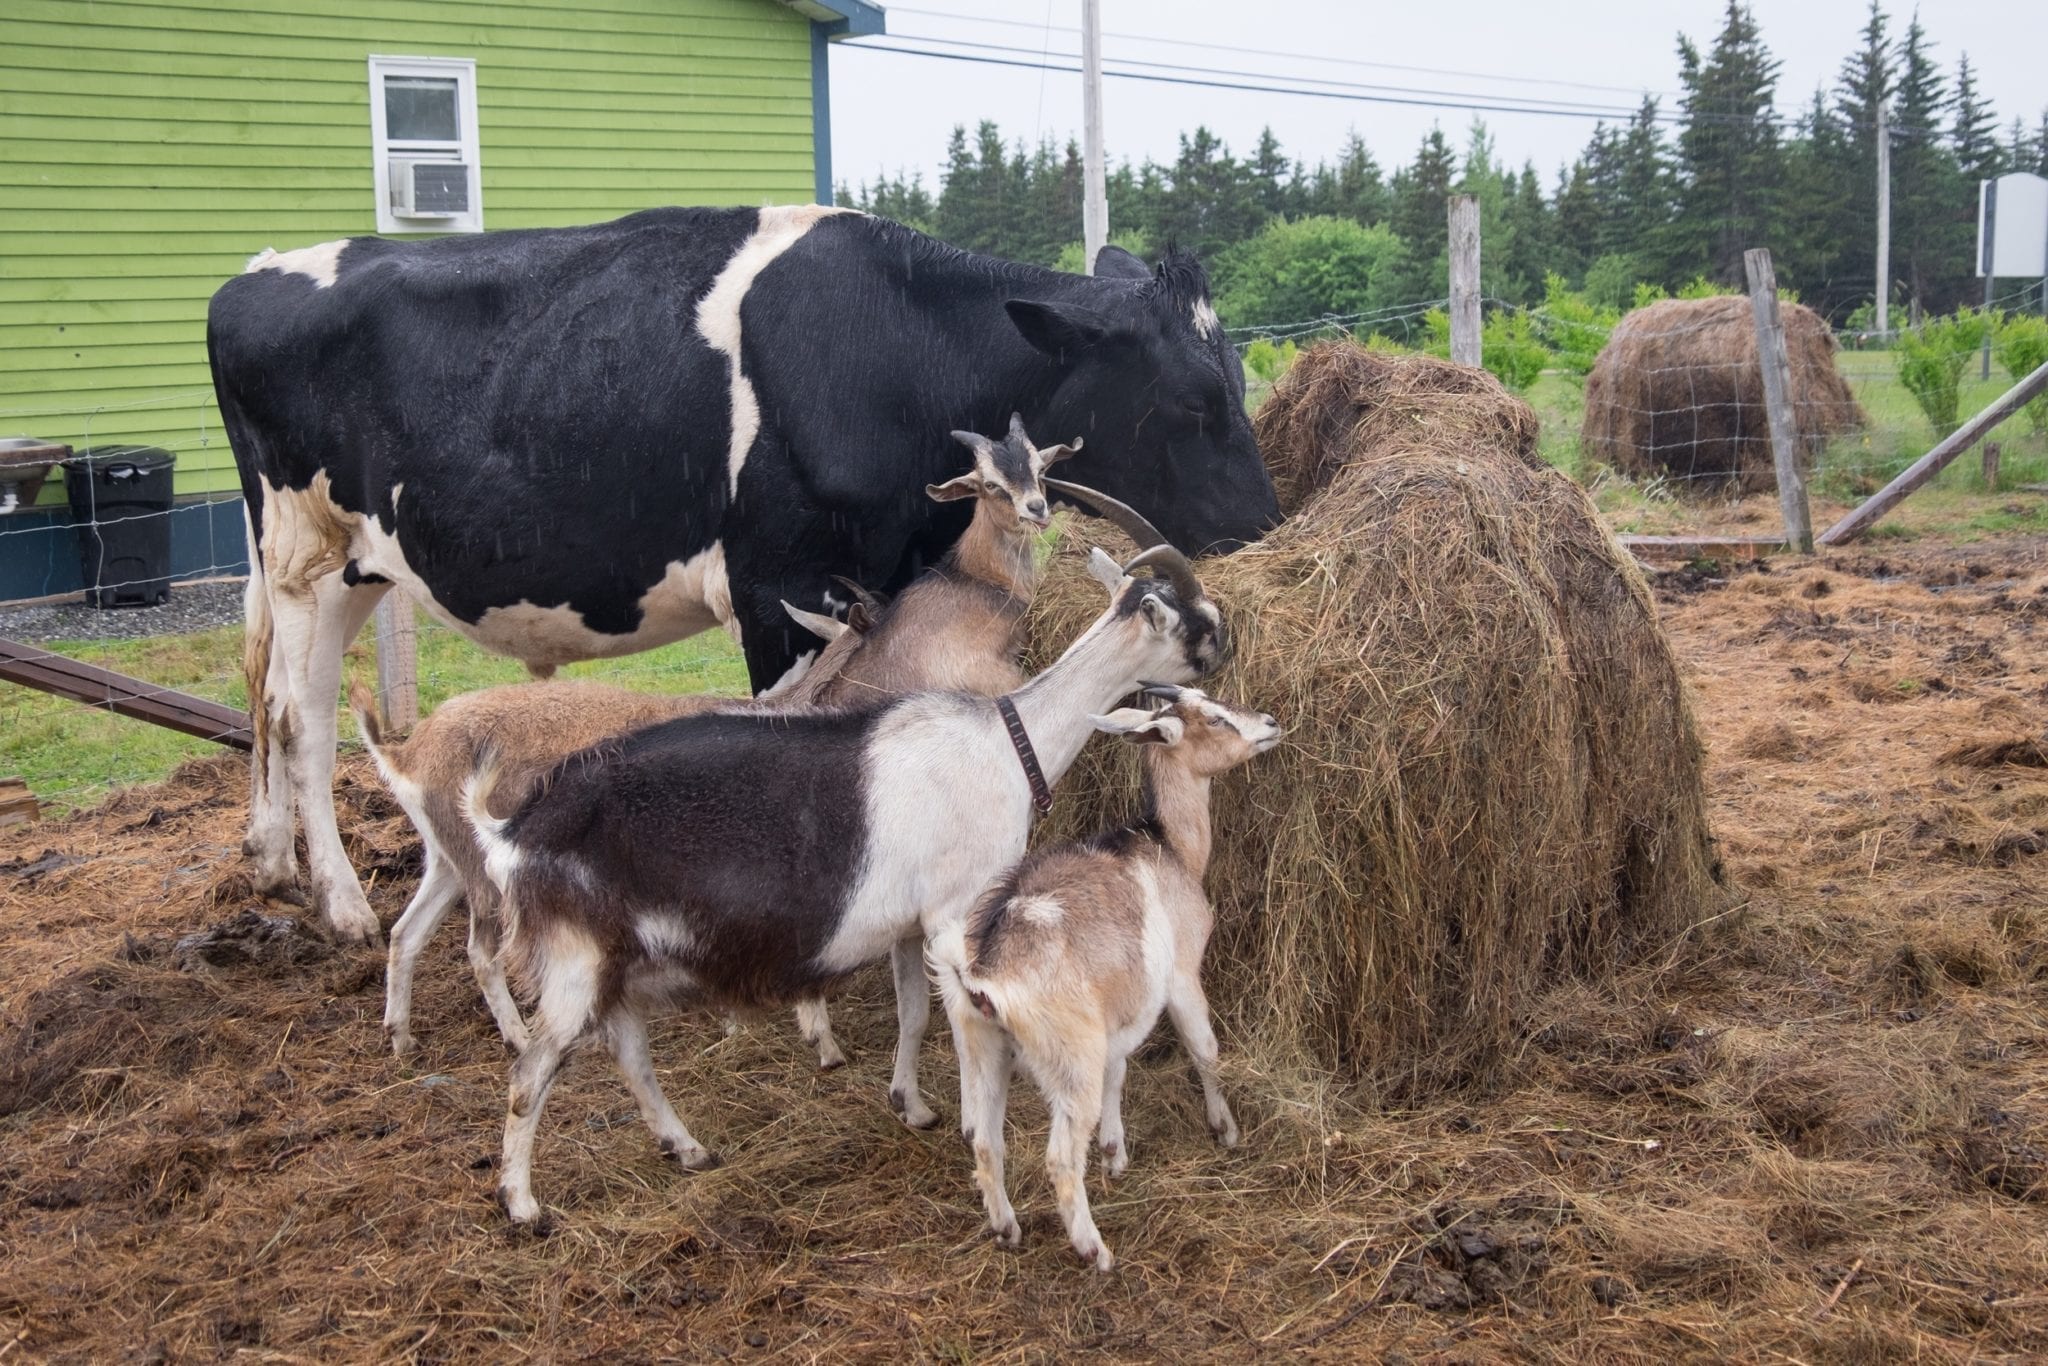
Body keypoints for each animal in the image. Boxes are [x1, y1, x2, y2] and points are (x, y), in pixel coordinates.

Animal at [203, 205, 1261, 942]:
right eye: (1192, 401)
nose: (1268, 526)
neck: (893, 355)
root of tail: (253, 272)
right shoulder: (776, 587)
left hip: (354, 569)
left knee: (274, 702)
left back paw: (272, 861)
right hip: (299, 551)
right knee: (302, 721)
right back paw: (341, 903)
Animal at [468, 518, 1220, 1220]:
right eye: (1196, 618)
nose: (1227, 646)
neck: (1010, 744)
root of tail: (516, 830)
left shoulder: (912, 928)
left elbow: (914, 1015)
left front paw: (912, 1105)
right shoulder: (956, 915)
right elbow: (962, 1031)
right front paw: (973, 1126)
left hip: (615, 961)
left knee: (628, 1052)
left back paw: (688, 1148)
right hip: (577, 958)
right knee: (531, 1072)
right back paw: (522, 1203)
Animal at [929, 684, 1277, 1269]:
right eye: (1215, 718)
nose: (1271, 723)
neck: (1168, 846)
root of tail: (984, 974)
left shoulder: (1117, 1014)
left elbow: (1121, 1071)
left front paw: (1115, 1153)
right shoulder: (1182, 974)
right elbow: (1204, 1049)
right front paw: (1225, 1129)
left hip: (984, 1051)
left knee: (986, 1141)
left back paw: (1006, 1227)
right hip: (1071, 1060)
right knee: (1059, 1158)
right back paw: (1093, 1248)